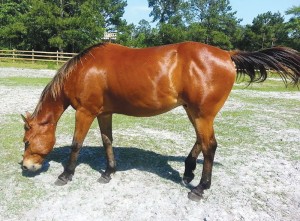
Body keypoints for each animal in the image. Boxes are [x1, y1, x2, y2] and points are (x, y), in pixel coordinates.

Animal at [21, 41, 300, 202]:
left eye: (26, 142)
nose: (26, 166)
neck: (85, 70)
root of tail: (227, 54)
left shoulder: (85, 112)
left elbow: (76, 145)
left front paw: (66, 175)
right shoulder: (103, 113)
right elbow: (107, 141)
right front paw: (109, 172)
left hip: (202, 115)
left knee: (209, 146)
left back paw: (200, 188)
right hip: (194, 112)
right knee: (201, 141)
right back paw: (188, 170)